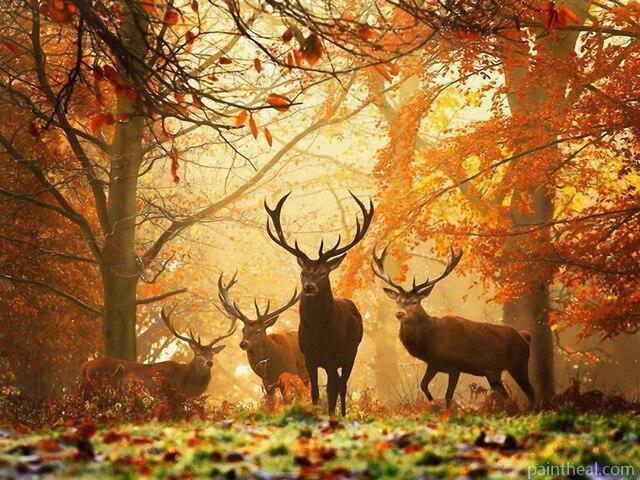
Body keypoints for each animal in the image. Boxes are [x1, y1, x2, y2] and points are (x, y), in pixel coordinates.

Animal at [217, 272, 309, 403]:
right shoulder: (267, 384)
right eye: (243, 330)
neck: (273, 368)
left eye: (258, 331)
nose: (243, 343)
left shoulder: (291, 374)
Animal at [265, 192, 373, 415]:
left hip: (351, 352)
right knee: (339, 383)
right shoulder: (309, 357)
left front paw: (331, 416)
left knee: (342, 384)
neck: (318, 333)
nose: (309, 287)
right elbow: (315, 391)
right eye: (303, 272)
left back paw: (342, 414)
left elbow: (331, 390)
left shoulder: (332, 356)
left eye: (323, 273)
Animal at [372, 246, 536, 407]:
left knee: (531, 391)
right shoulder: (433, 364)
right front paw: (431, 401)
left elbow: (448, 396)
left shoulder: (455, 365)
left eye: (414, 302)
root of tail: (525, 336)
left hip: (519, 363)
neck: (431, 341)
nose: (399, 313)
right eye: (397, 301)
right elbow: (423, 385)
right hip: (494, 372)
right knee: (505, 395)